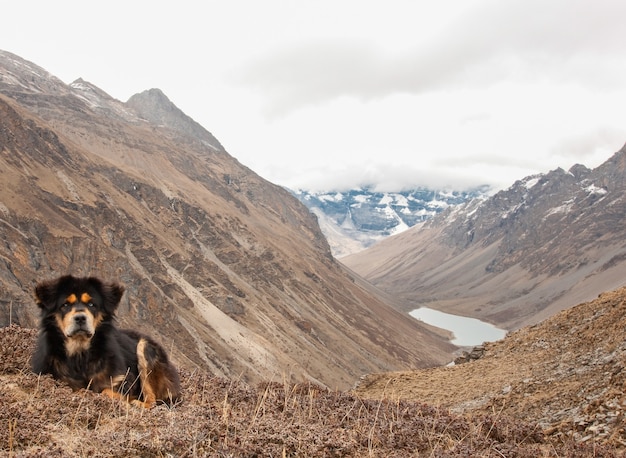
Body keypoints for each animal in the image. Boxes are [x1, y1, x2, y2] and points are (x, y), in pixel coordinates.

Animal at [31, 276, 179, 408]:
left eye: (91, 304)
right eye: (65, 304)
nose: (80, 318)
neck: (80, 354)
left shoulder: (123, 379)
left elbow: (106, 390)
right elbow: (78, 390)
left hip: (145, 347)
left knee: (152, 400)